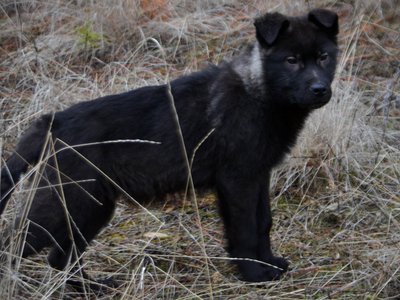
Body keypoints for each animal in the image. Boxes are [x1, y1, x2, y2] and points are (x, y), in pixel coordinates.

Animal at [0, 8, 340, 286]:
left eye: (323, 57)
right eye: (291, 61)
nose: (320, 89)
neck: (259, 92)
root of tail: (51, 122)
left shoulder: (259, 176)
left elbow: (264, 223)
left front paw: (269, 263)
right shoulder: (237, 180)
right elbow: (244, 229)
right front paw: (254, 274)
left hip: (92, 206)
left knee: (60, 256)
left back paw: (93, 288)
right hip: (68, 203)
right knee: (17, 244)